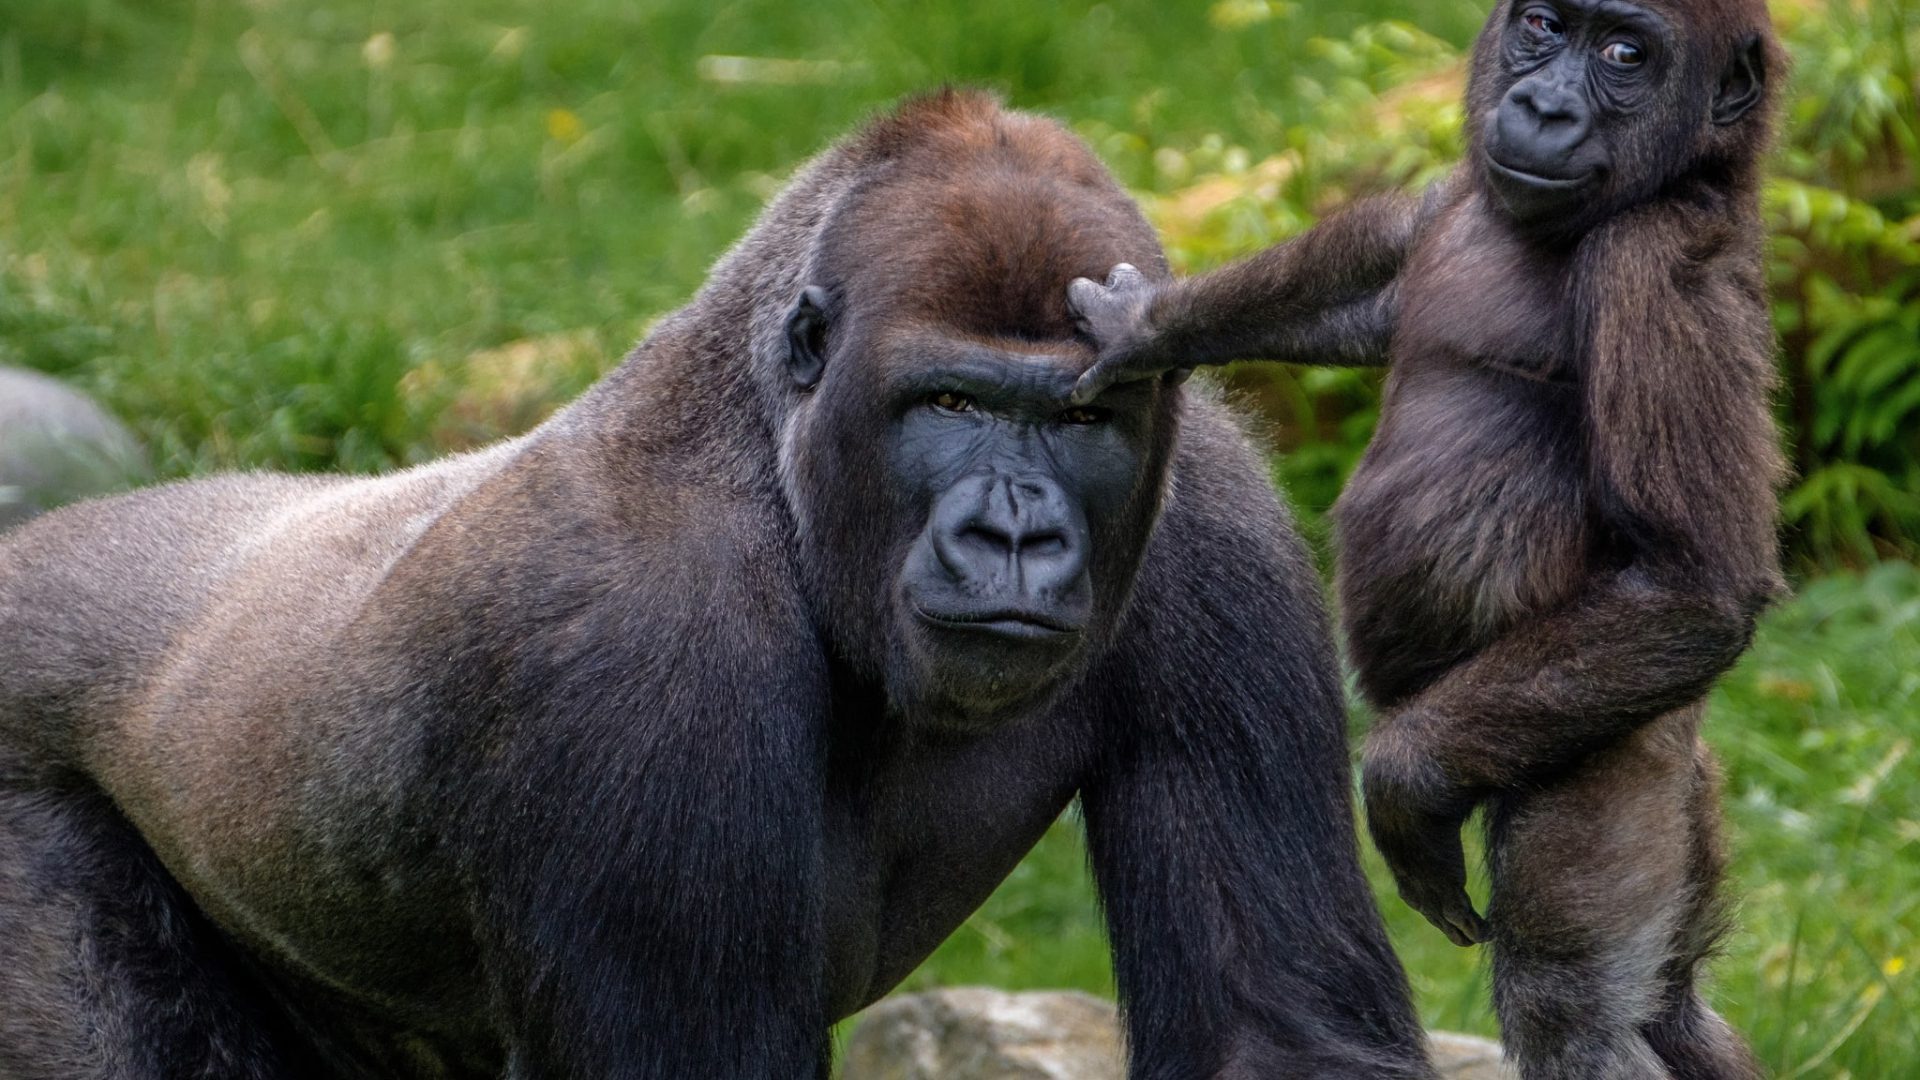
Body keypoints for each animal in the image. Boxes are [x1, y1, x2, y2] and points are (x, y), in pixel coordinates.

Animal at [0, 92, 1436, 1076]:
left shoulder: (1218, 523)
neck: (763, 445)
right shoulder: (644, 650)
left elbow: (1275, 1028)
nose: (1015, 536)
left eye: (1082, 419)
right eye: (949, 402)